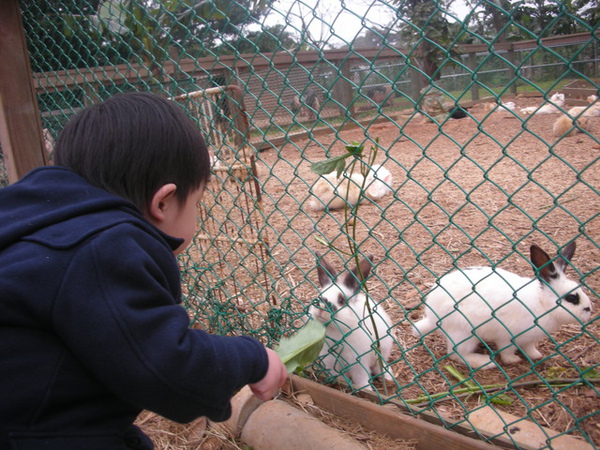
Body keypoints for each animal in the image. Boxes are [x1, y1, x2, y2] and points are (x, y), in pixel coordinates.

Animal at [308, 251, 396, 388]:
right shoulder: (330, 361)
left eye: (341, 300)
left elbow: (361, 379)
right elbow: (338, 376)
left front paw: (367, 389)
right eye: (319, 297)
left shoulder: (358, 363)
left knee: (380, 366)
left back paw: (388, 378)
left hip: (382, 350)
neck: (335, 331)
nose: (321, 308)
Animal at [412, 243, 592, 370]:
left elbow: (529, 348)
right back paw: (485, 362)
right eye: (572, 298)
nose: (589, 310)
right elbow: (507, 351)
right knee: (456, 353)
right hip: (463, 332)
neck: (541, 302)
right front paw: (513, 360)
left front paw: (536, 356)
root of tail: (432, 317)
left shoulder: (529, 339)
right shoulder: (507, 336)